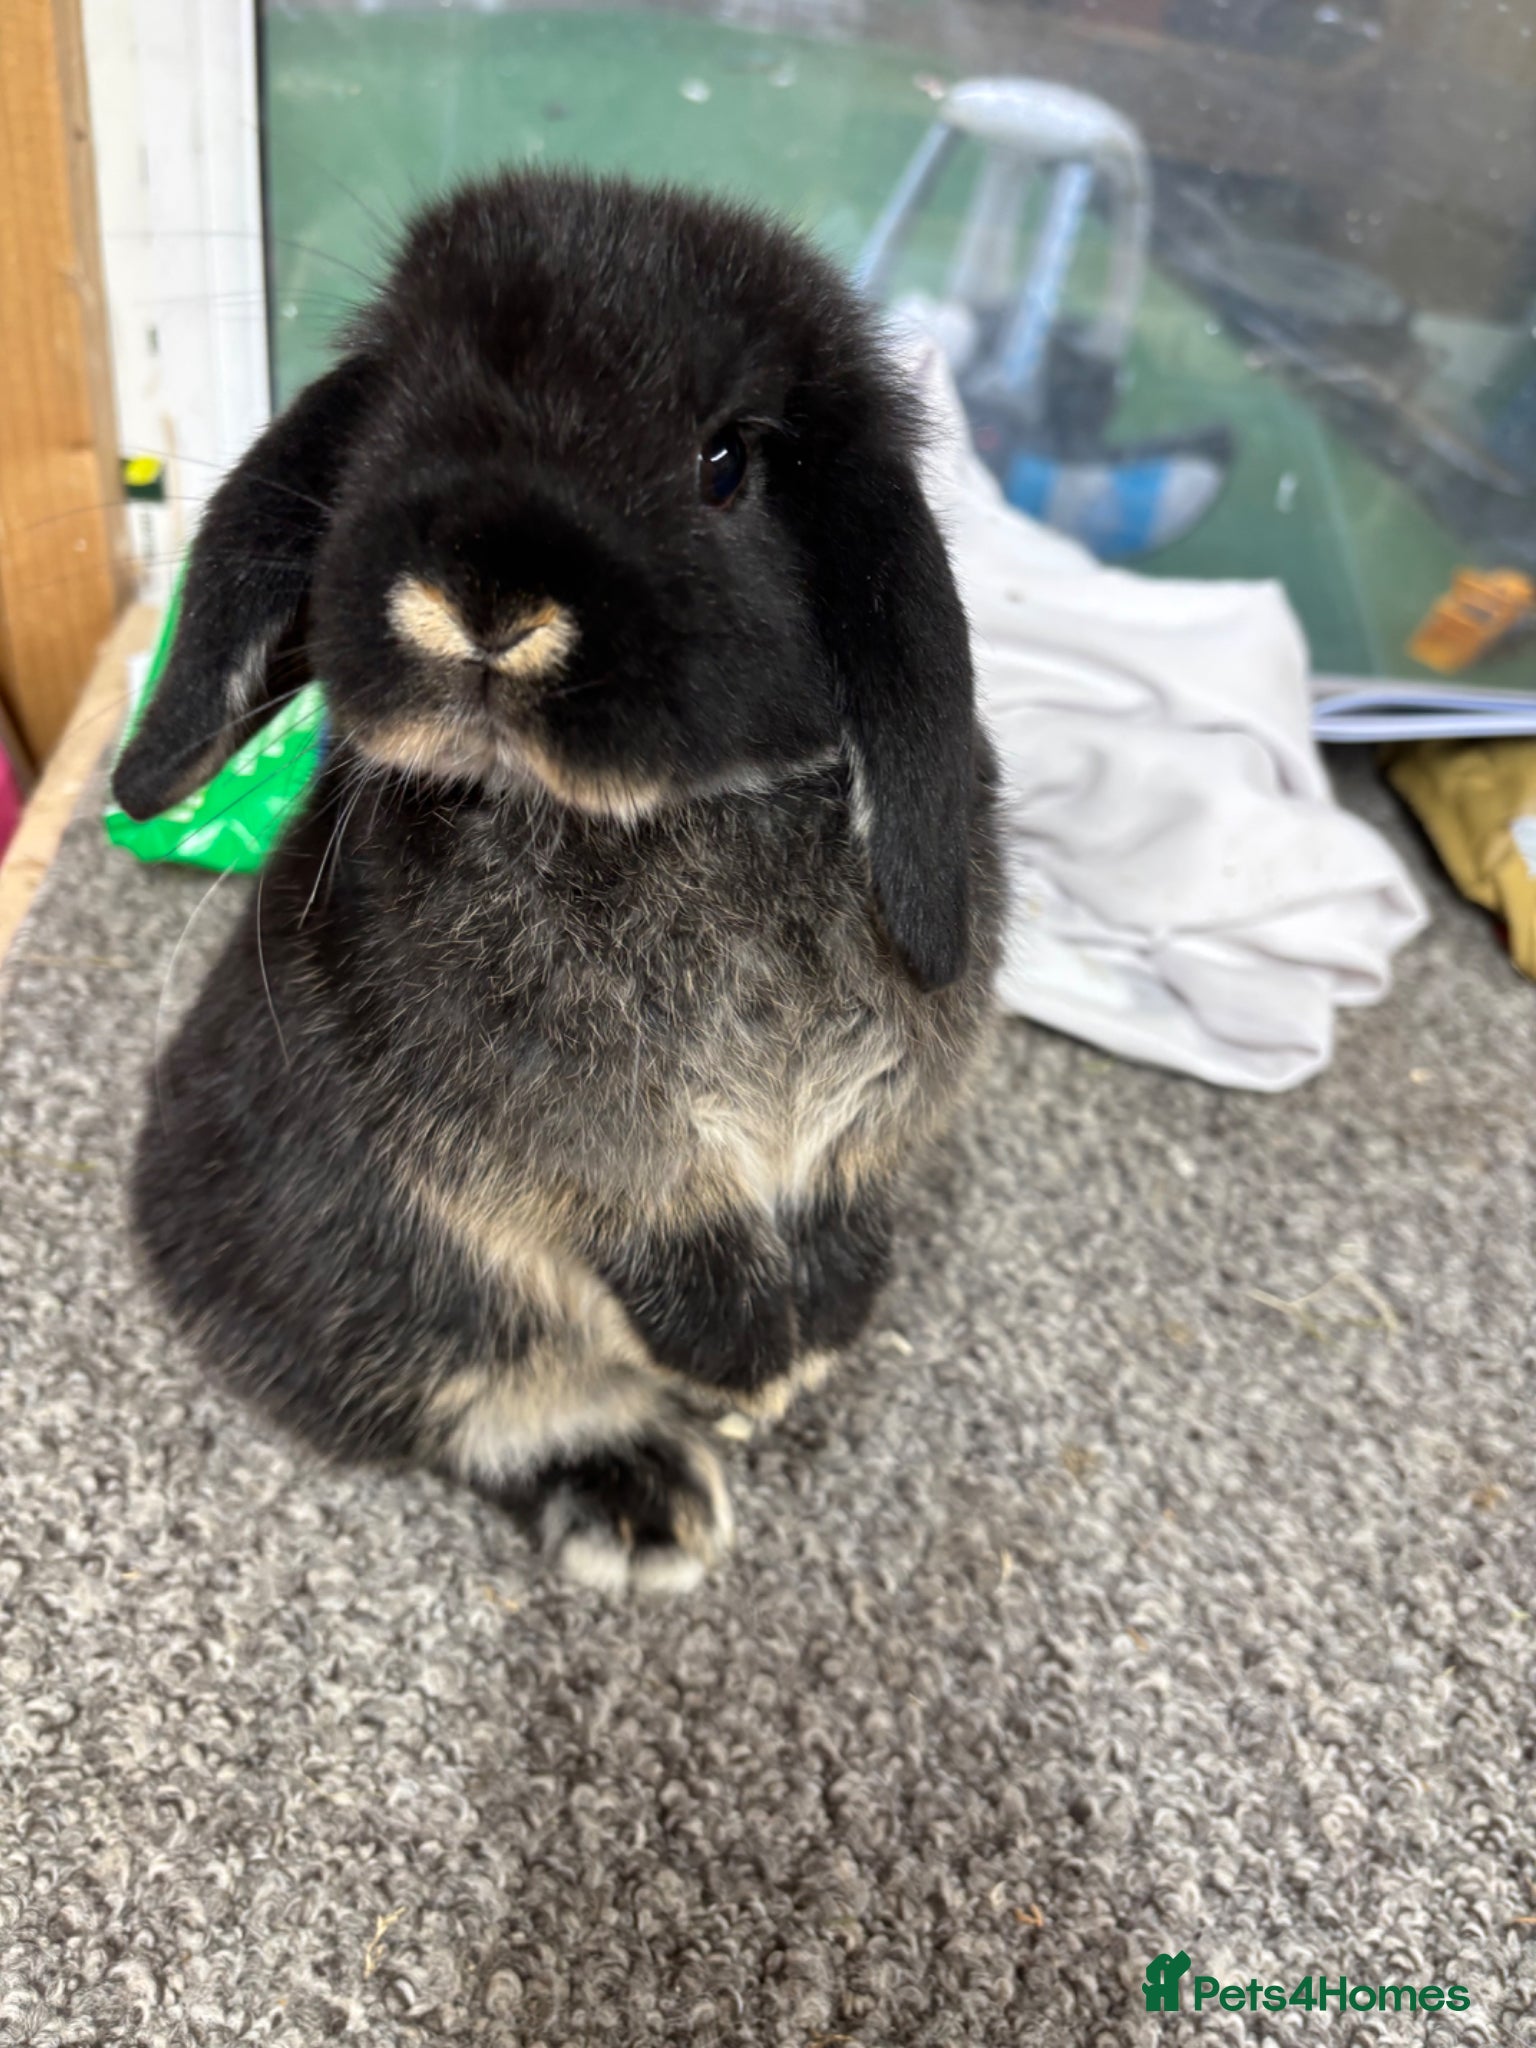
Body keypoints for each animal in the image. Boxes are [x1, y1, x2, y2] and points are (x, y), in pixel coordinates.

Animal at [112, 170, 1004, 1596]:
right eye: (397, 411)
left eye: (726, 462)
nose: (484, 593)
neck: (652, 826)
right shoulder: (570, 1165)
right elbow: (642, 1236)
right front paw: (748, 1364)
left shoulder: (869, 1133)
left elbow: (839, 1197)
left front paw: (818, 1339)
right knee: (487, 1405)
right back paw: (645, 1496)